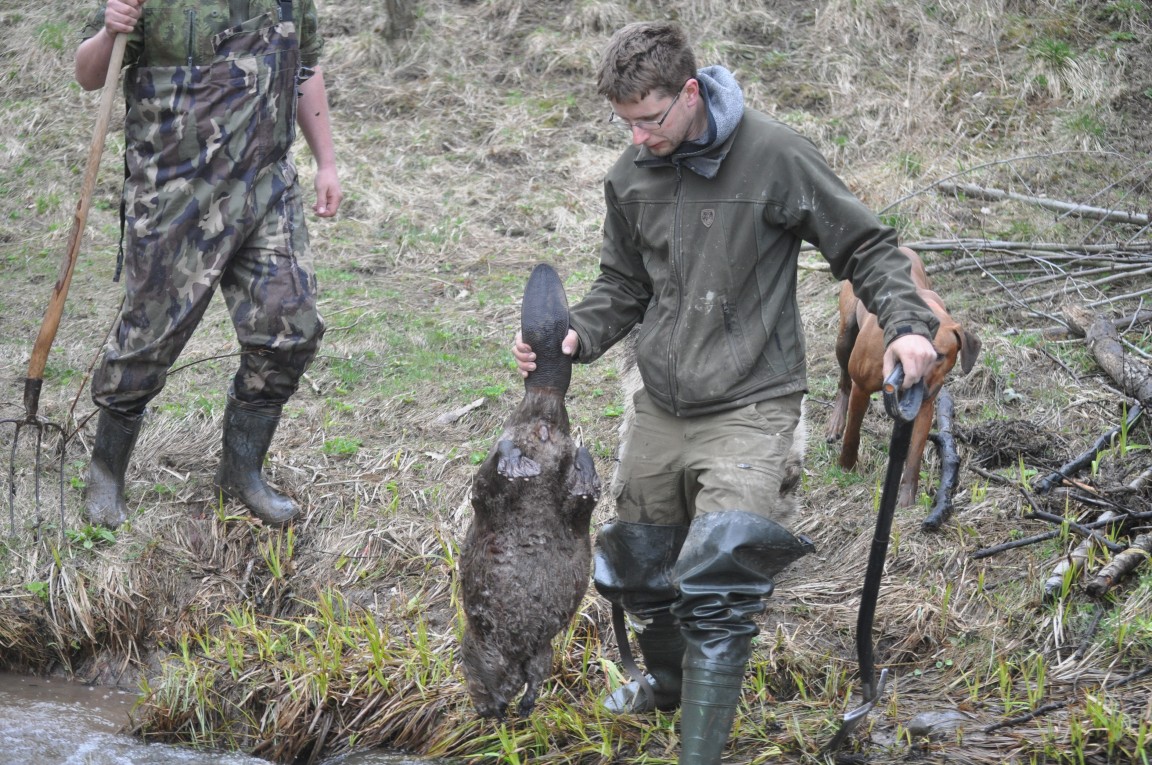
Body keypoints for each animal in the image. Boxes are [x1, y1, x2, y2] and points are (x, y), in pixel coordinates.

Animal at [453, 261, 599, 718]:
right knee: (581, 497)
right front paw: (523, 703)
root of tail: (543, 398)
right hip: (567, 499)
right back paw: (577, 458)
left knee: (491, 479)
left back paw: (517, 459)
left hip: (484, 495)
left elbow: (517, 667)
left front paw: (508, 705)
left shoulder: (489, 644)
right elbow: (539, 669)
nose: (483, 713)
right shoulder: (539, 648)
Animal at [824, 246, 976, 506]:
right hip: (845, 337)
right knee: (843, 381)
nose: (923, 389)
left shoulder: (925, 407)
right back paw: (836, 423)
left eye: (940, 356)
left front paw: (906, 497)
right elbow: (853, 432)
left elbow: (914, 453)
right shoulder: (861, 388)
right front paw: (846, 466)